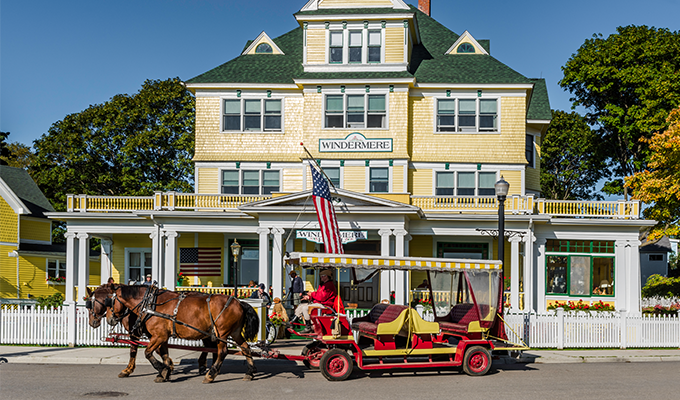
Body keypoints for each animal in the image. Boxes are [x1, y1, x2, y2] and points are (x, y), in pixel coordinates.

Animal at [110, 286, 258, 382]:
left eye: (109, 301)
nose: (110, 319)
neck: (150, 304)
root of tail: (239, 302)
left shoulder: (159, 336)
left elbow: (148, 353)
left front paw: (162, 370)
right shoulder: (163, 337)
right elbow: (164, 354)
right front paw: (165, 372)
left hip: (222, 333)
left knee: (222, 352)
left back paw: (211, 374)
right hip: (235, 332)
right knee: (245, 348)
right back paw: (249, 372)